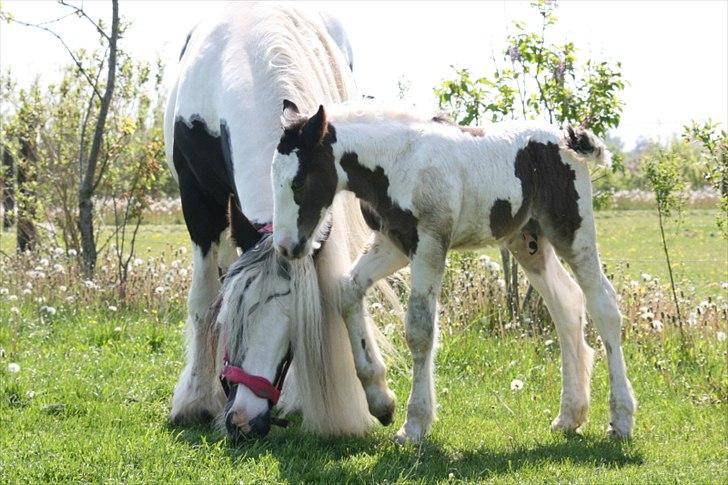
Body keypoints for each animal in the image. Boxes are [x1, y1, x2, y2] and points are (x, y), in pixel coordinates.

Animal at [162, 1, 390, 438]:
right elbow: (204, 298)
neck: (247, 52)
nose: (243, 421)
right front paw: (194, 401)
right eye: (233, 315)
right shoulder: (198, 202)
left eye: (291, 329)